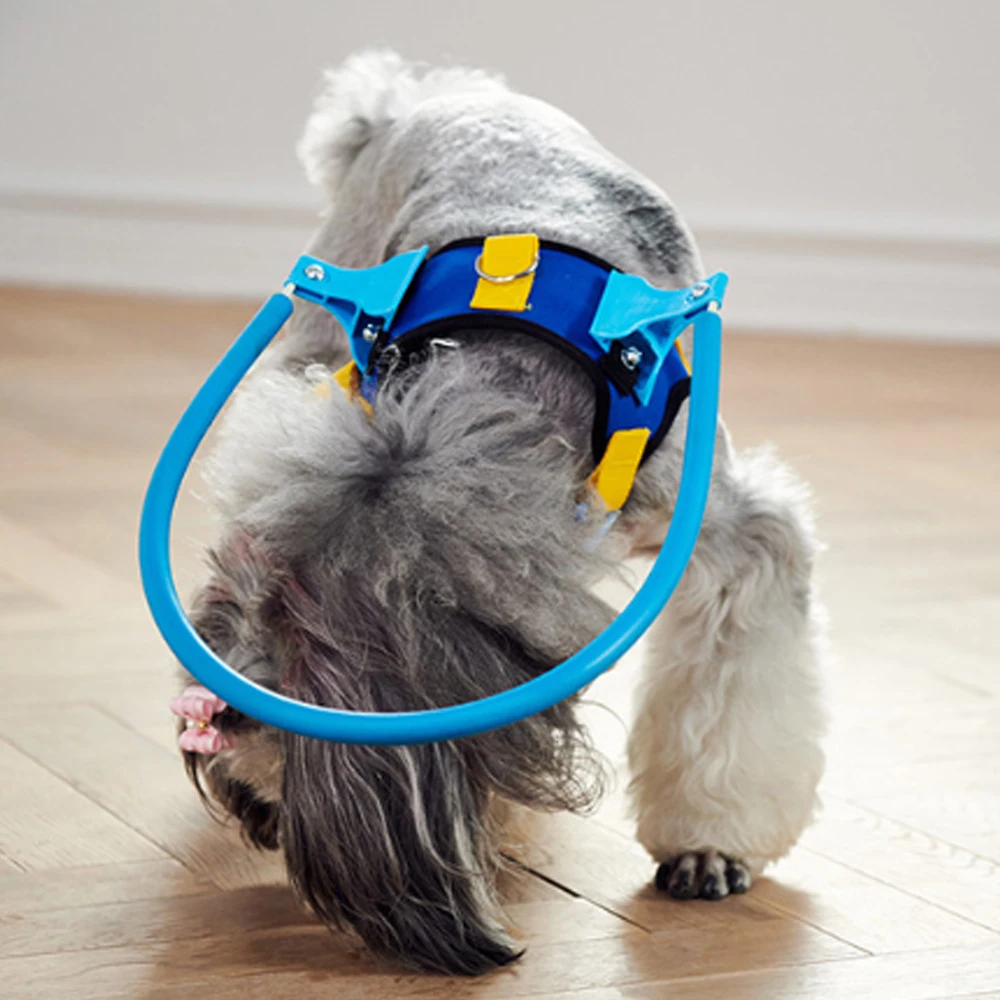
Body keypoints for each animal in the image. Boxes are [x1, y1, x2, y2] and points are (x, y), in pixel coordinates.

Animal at [174, 49, 827, 976]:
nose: (215, 733)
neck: (509, 370)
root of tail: (409, 103)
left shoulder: (735, 534)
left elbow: (731, 690)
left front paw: (709, 845)